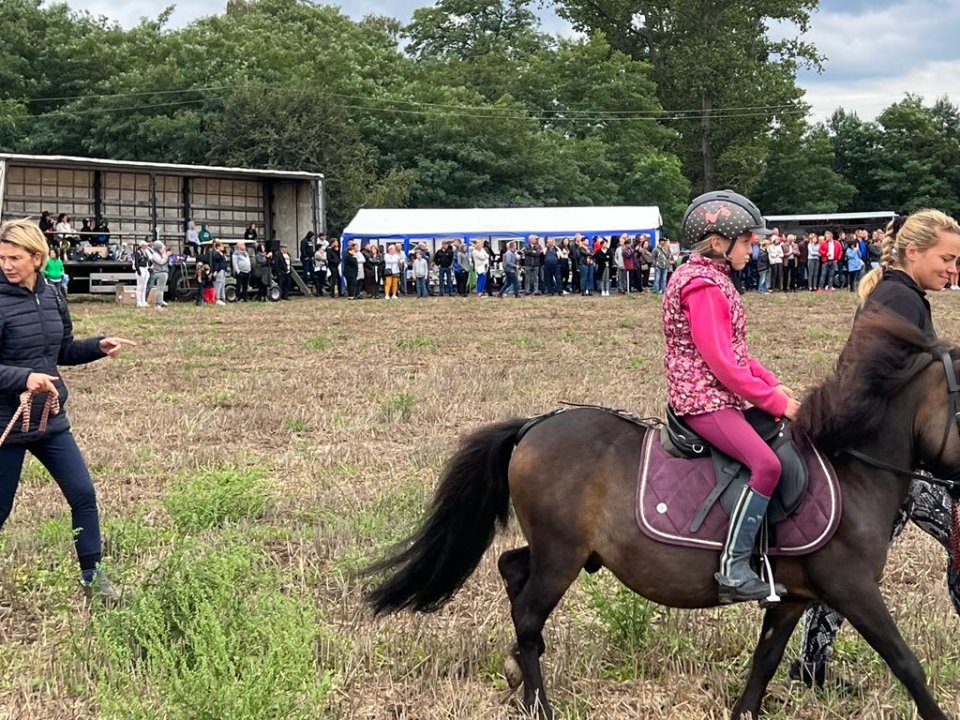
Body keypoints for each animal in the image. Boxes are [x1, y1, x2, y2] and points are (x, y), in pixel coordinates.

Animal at [366, 314, 960, 720]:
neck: (851, 467)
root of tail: (537, 424)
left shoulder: (794, 598)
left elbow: (764, 663)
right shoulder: (852, 589)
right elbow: (906, 662)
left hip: (557, 549)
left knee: (512, 570)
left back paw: (517, 673)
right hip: (560, 555)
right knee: (530, 613)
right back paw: (539, 702)